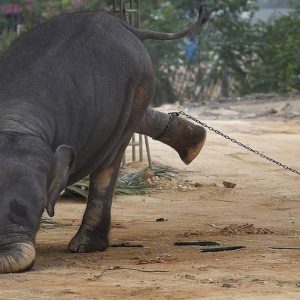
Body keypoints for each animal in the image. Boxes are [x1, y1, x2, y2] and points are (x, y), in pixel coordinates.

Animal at [0, 4, 207, 274]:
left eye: (39, 210)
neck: (17, 122)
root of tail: (126, 26)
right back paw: (195, 144)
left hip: (138, 87)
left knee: (109, 163)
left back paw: (85, 246)